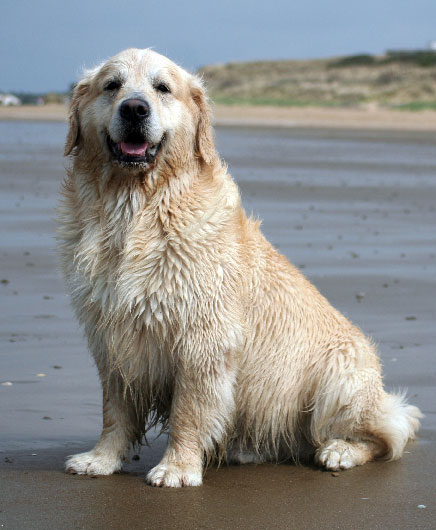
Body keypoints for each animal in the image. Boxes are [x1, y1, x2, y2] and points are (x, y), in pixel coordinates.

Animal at [58, 47, 422, 484]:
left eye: (162, 87)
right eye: (112, 85)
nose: (134, 108)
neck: (137, 209)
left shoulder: (202, 337)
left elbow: (188, 410)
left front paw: (177, 467)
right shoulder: (111, 334)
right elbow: (115, 410)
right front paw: (100, 459)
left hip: (340, 377)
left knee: (391, 430)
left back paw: (340, 451)